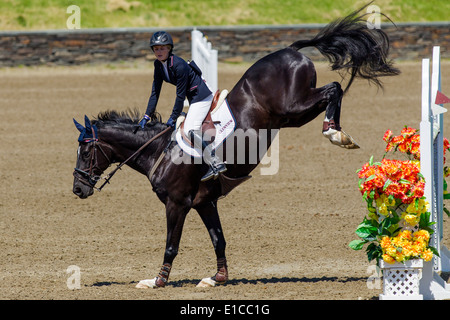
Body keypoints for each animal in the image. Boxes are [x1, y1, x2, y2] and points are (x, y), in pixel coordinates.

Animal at [72, 6, 400, 288]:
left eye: (86, 152)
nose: (77, 189)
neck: (159, 151)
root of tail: (291, 50)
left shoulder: (177, 203)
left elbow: (171, 245)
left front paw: (157, 281)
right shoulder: (204, 202)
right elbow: (218, 239)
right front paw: (217, 278)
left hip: (292, 107)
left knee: (334, 88)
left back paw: (334, 132)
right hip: (291, 117)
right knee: (333, 90)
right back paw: (338, 132)